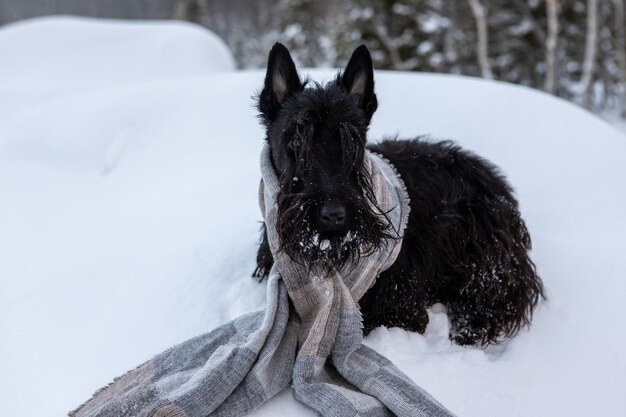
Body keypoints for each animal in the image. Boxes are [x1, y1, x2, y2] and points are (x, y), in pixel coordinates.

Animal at [252, 44, 540, 346]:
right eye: (296, 139)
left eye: (353, 142)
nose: (333, 215)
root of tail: (492, 179)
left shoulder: (400, 307)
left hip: (487, 259)